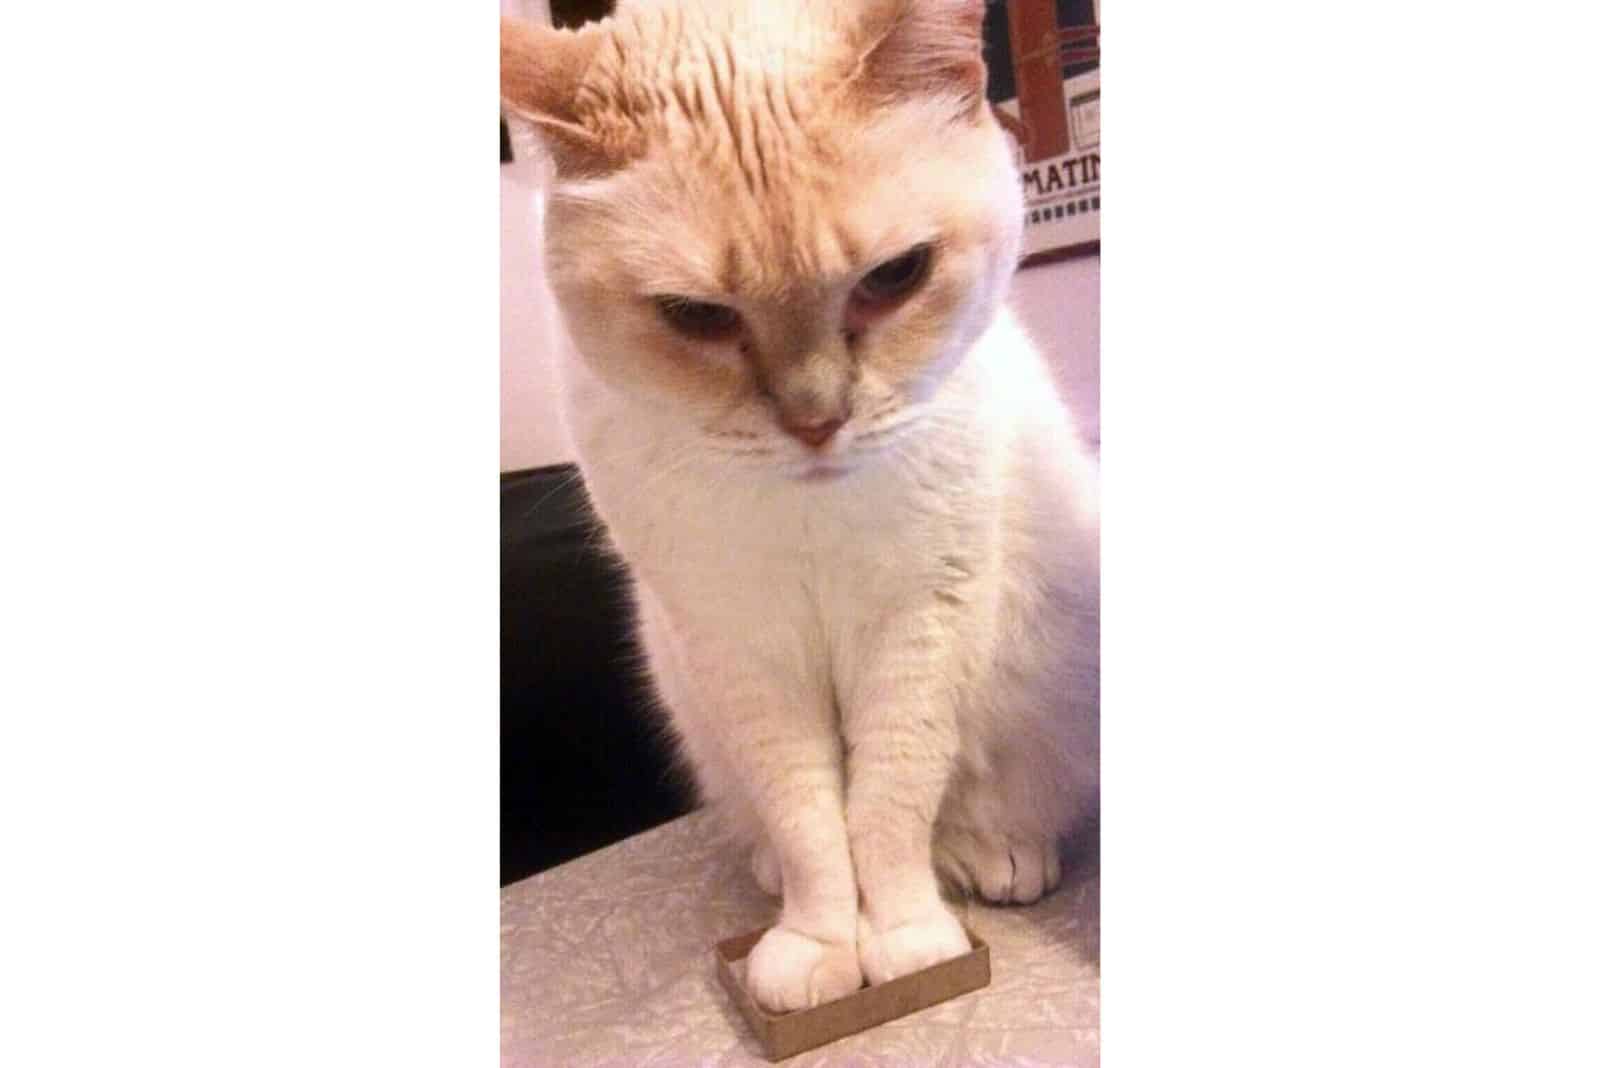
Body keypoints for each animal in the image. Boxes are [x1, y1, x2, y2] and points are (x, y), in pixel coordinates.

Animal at [502, 0, 1100, 1016]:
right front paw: (821, 948)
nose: (817, 423)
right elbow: (811, 818)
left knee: (984, 809)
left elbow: (890, 804)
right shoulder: (739, 648)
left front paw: (905, 943)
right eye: (696, 317)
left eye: (896, 276)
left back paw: (995, 856)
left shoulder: (919, 624)